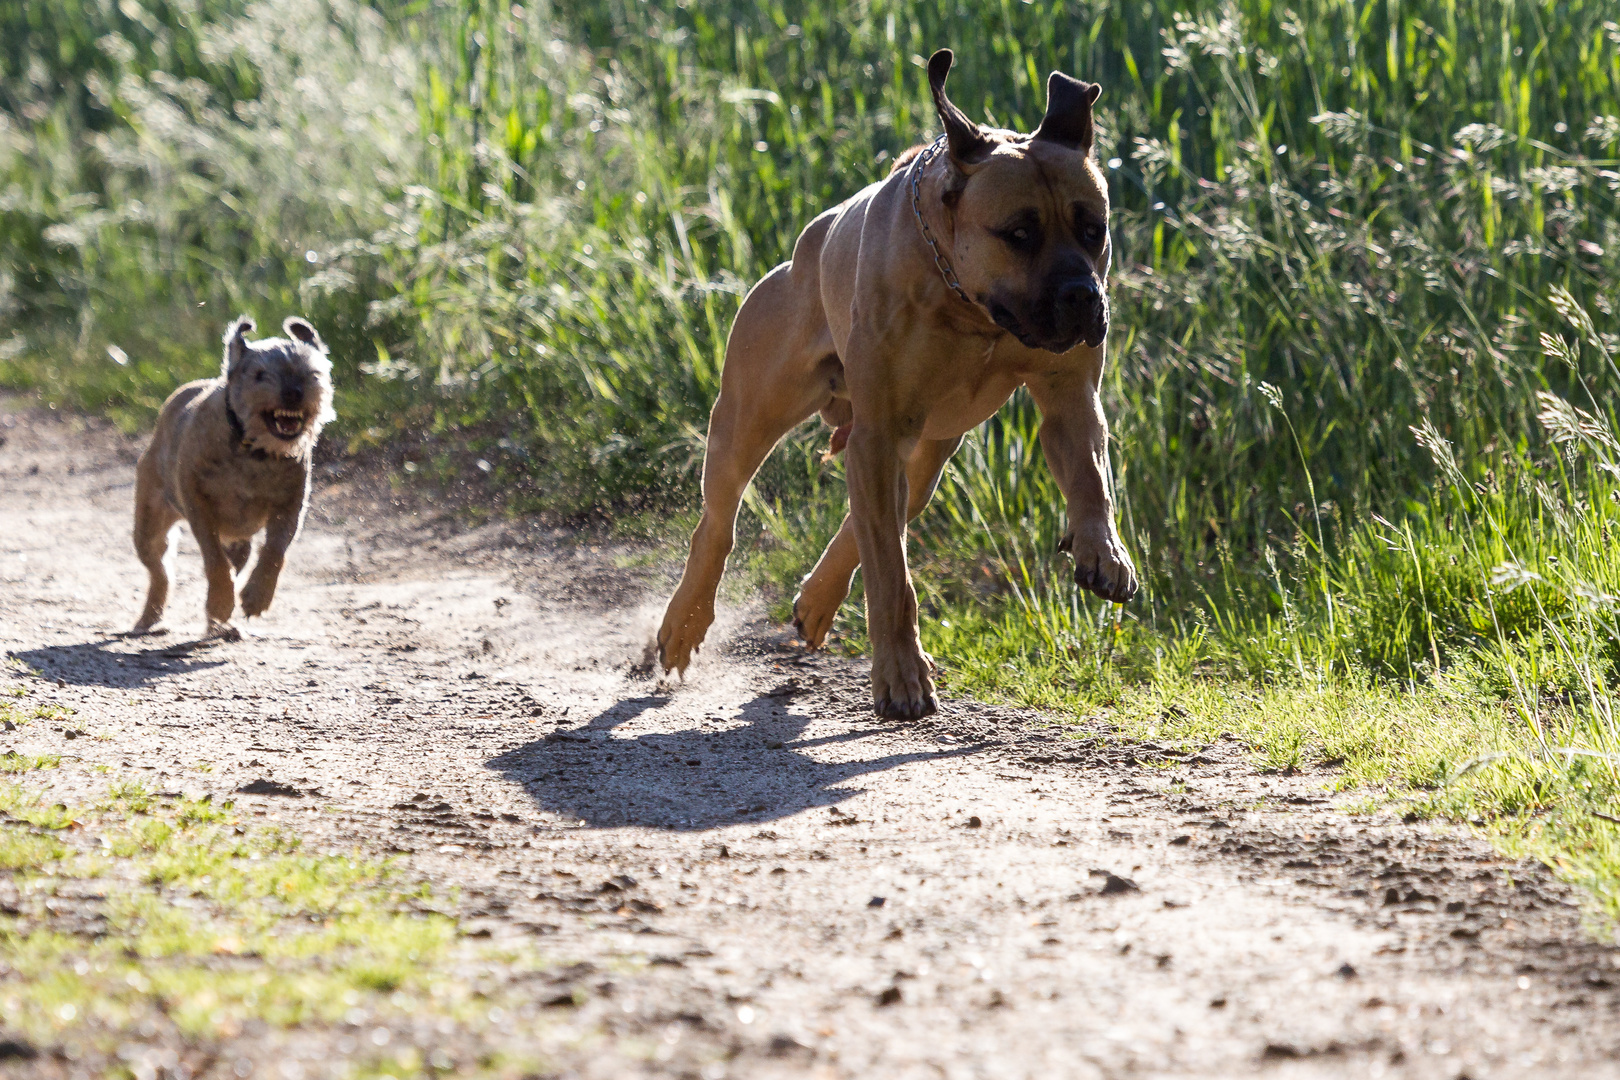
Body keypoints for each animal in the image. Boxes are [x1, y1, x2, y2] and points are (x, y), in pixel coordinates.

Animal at [651, 52, 1134, 725]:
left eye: (1094, 229)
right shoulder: (879, 434)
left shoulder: (1069, 399)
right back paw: (686, 621)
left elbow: (1091, 476)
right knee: (720, 525)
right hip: (749, 418)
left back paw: (818, 598)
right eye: (1019, 233)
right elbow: (889, 573)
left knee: (876, 512)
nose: (1084, 298)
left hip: (925, 453)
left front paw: (1103, 549)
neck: (970, 306)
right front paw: (901, 675)